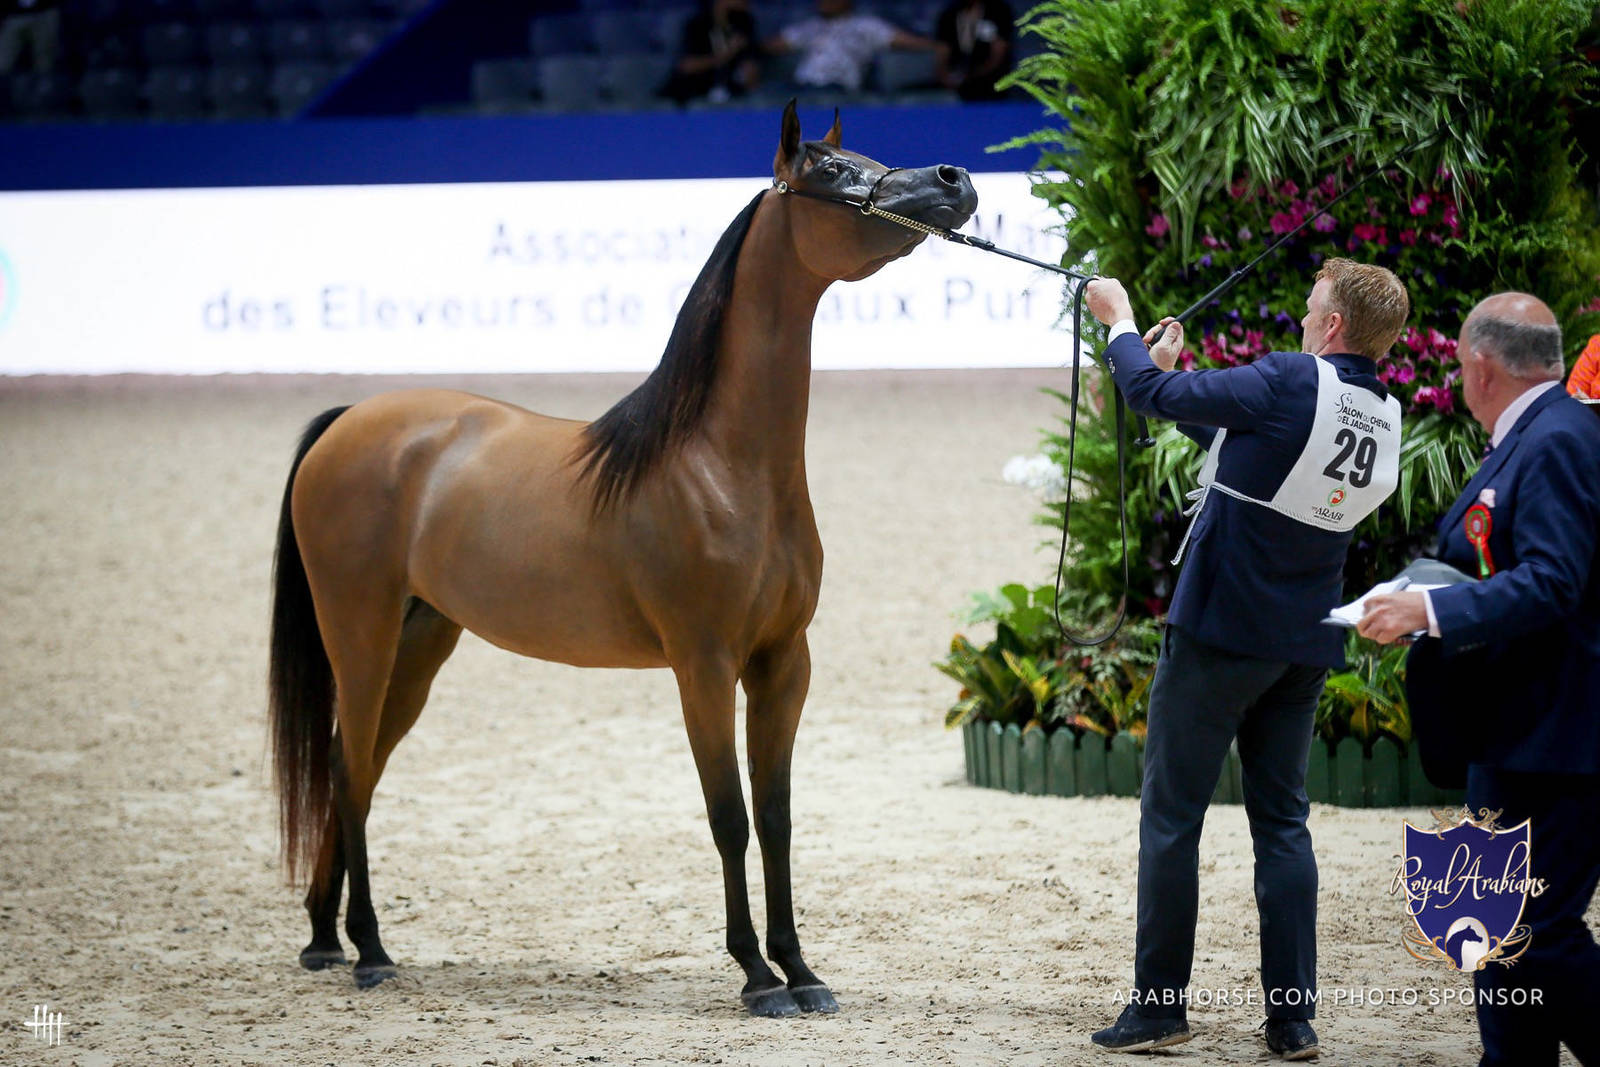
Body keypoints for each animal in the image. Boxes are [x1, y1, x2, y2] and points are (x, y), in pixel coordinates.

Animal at [267, 101, 978, 1018]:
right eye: (829, 172)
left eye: (865, 153)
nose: (954, 179)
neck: (722, 466)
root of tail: (350, 421)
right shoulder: (703, 664)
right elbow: (728, 815)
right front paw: (757, 977)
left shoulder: (784, 662)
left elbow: (778, 815)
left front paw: (802, 968)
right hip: (361, 633)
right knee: (350, 766)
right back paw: (370, 950)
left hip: (420, 644)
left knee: (353, 766)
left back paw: (326, 937)